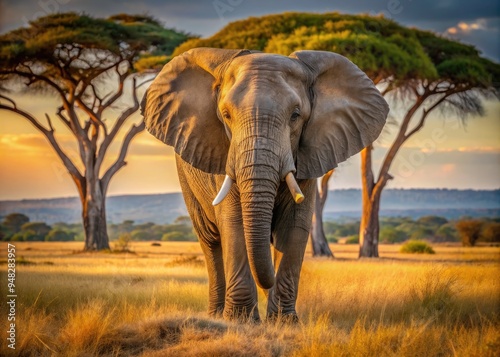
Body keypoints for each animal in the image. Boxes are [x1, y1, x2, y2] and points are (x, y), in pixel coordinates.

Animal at [142, 46, 390, 322]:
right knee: (210, 240)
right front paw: (240, 320)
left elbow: (294, 226)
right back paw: (216, 315)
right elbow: (233, 224)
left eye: (295, 115)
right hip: (187, 179)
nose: (266, 285)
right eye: (226, 116)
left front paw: (284, 322)